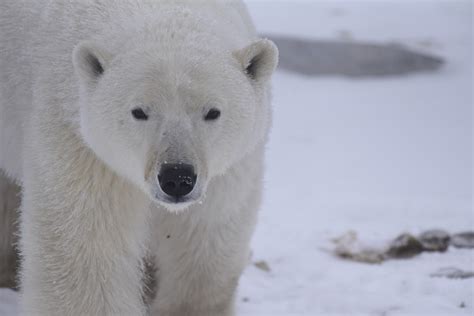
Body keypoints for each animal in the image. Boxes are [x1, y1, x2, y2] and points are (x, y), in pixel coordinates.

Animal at [0, 0, 278, 316]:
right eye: (139, 111)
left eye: (212, 112)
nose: (177, 178)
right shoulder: (76, 137)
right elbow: (86, 249)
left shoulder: (229, 169)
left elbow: (203, 242)